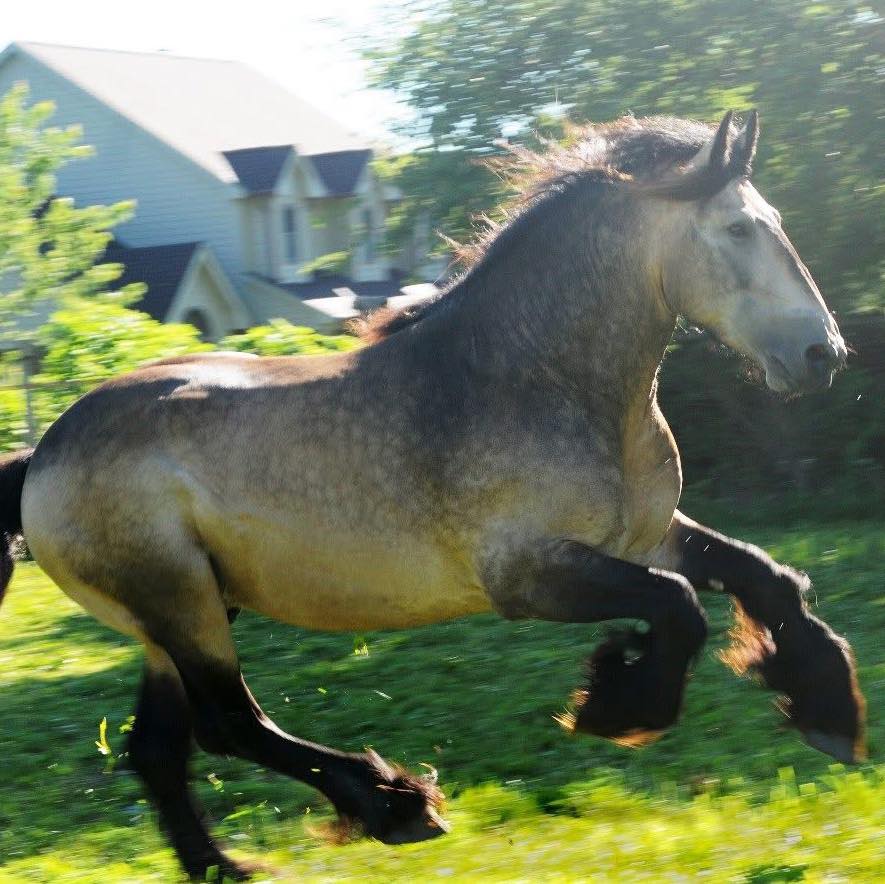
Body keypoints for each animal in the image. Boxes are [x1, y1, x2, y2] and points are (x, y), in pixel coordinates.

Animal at [0, 111, 865, 880]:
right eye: (739, 230)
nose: (821, 353)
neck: (539, 380)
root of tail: (43, 454)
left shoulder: (646, 535)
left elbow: (764, 576)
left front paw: (829, 714)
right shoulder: (526, 573)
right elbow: (679, 605)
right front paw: (617, 702)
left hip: (182, 616)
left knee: (158, 749)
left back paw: (226, 867)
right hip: (181, 606)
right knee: (230, 724)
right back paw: (396, 805)